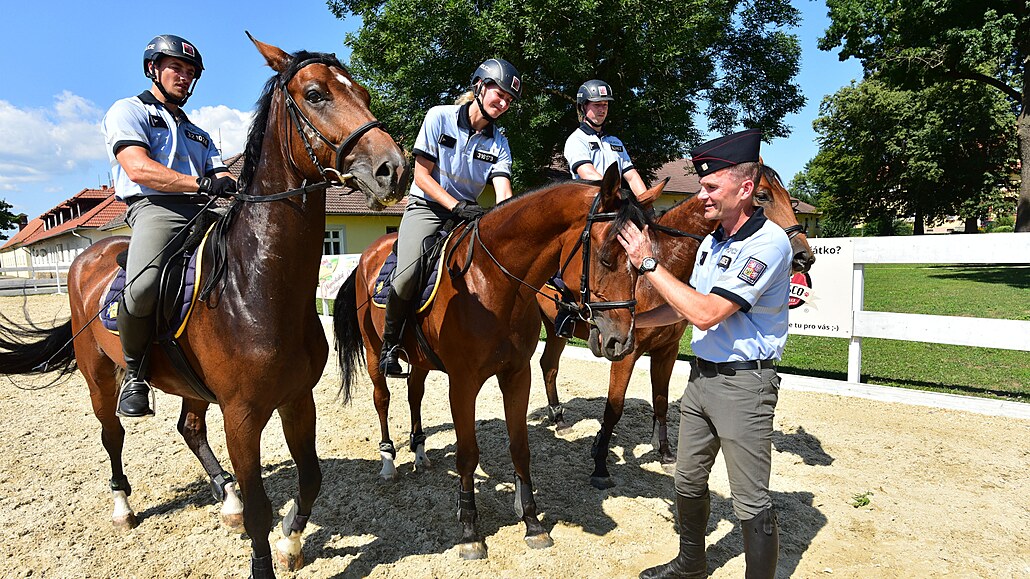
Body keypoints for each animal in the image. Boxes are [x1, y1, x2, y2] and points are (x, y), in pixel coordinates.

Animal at [0, 36, 405, 576]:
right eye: (315, 94)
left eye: (362, 92)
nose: (393, 169)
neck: (255, 288)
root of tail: (87, 256)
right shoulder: (242, 415)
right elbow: (260, 507)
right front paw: (265, 553)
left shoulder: (298, 398)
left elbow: (311, 478)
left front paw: (291, 541)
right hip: (99, 375)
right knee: (112, 435)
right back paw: (124, 506)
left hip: (189, 385)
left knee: (189, 428)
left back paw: (225, 499)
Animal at [333, 160, 659, 556]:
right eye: (607, 256)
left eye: (642, 262)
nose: (620, 342)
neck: (493, 283)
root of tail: (367, 254)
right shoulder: (463, 383)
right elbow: (467, 454)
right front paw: (470, 529)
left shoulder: (517, 375)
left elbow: (520, 448)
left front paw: (532, 522)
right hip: (373, 351)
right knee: (382, 399)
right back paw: (388, 461)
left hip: (421, 360)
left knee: (414, 395)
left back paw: (421, 453)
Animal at [539, 163, 811, 486]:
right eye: (763, 195)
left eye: (791, 200)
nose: (804, 256)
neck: (658, 274)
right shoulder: (625, 353)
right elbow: (614, 408)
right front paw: (601, 464)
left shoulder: (666, 351)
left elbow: (661, 400)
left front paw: (666, 454)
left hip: (556, 330)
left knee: (549, 366)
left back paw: (559, 419)